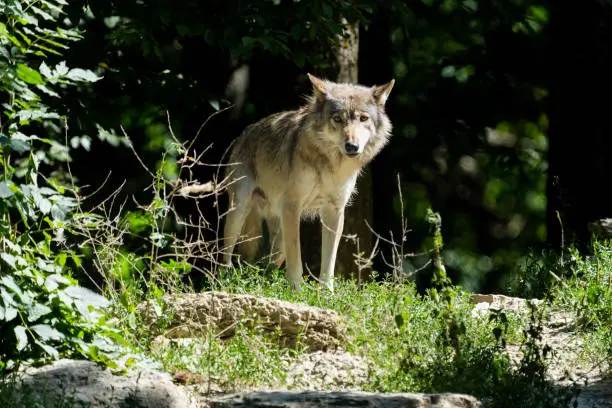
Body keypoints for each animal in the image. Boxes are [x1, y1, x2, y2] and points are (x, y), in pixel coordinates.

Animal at [222, 72, 394, 290]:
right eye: (337, 119)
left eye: (363, 118)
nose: (351, 146)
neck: (330, 165)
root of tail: (242, 136)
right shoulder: (292, 207)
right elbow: (296, 261)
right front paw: (296, 291)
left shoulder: (334, 211)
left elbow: (328, 263)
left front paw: (326, 293)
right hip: (238, 213)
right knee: (225, 258)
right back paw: (225, 283)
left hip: (278, 238)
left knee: (265, 266)